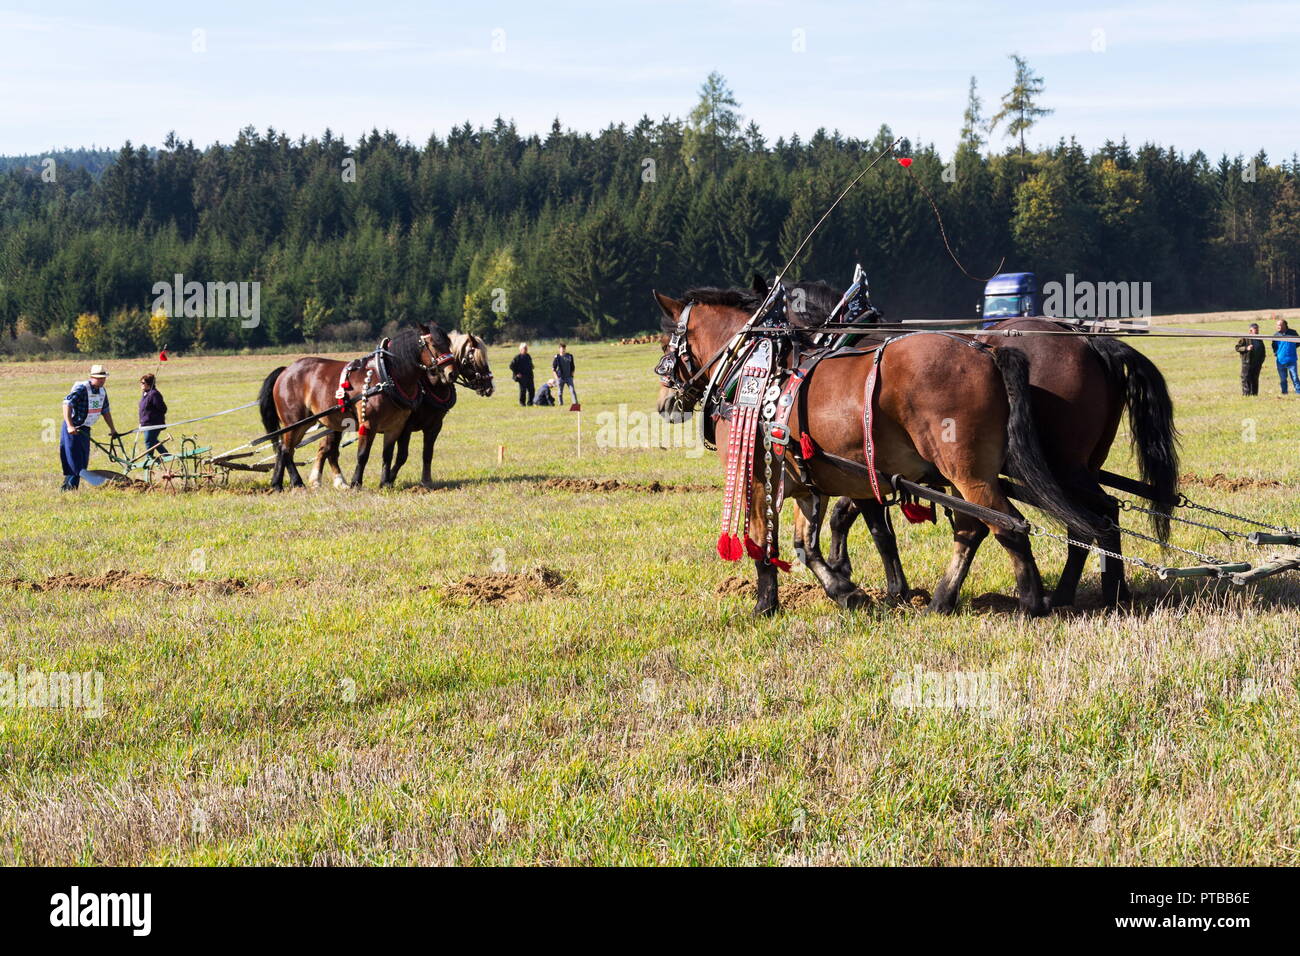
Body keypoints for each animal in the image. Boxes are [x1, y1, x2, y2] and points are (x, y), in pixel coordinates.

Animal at [256, 323, 454, 489]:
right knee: (286, 449)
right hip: (294, 422)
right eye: (434, 344)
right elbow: (363, 454)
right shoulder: (368, 423)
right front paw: (356, 483)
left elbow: (388, 455)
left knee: (286, 449)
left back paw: (278, 483)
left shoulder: (396, 427)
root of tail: (286, 371)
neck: (387, 375)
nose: (451, 373)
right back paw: (296, 482)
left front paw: (385, 483)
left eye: (449, 343)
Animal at [384, 335, 496, 486]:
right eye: (474, 359)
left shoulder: (434, 426)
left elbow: (427, 454)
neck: (430, 384)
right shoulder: (405, 427)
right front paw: (390, 478)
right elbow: (402, 456)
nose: (489, 387)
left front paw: (426, 481)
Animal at [655, 287, 1102, 616]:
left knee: (1008, 525)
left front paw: (765, 604)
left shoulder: (758, 477)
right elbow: (807, 545)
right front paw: (845, 590)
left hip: (968, 471)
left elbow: (763, 542)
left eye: (665, 344)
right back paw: (943, 600)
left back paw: (1032, 602)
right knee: (975, 527)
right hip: (969, 475)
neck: (756, 371)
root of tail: (988, 351)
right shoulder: (806, 480)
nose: (664, 403)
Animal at [826, 312, 1185, 606]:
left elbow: (863, 523)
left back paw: (1084, 595)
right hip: (1081, 466)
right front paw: (842, 569)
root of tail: (1089, 342)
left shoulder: (860, 464)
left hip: (1062, 467)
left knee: (1094, 517)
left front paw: (855, 576)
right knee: (1093, 517)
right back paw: (1099, 592)